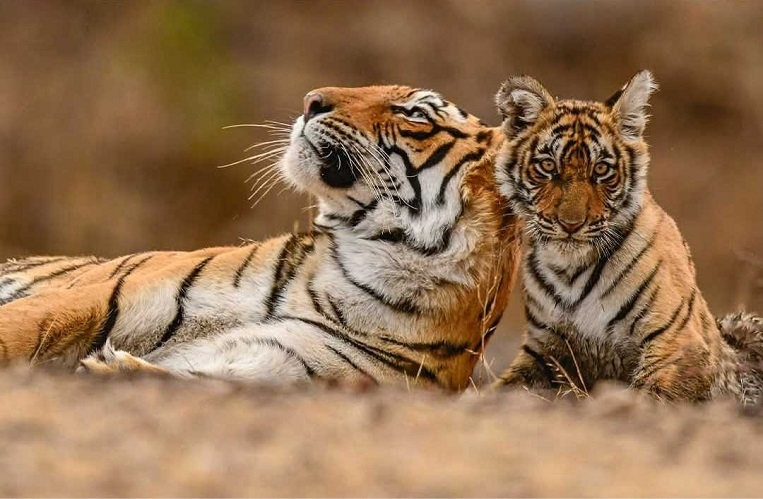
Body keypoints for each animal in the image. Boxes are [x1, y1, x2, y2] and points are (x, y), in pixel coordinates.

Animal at [0, 85, 521, 390]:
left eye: (413, 113)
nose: (311, 101)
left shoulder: (277, 365)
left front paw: (114, 368)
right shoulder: (103, 297)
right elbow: (18, 327)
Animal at [491, 70, 763, 403]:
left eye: (601, 170)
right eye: (547, 166)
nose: (571, 224)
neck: (570, 269)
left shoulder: (678, 343)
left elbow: (649, 394)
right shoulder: (544, 348)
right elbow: (503, 388)